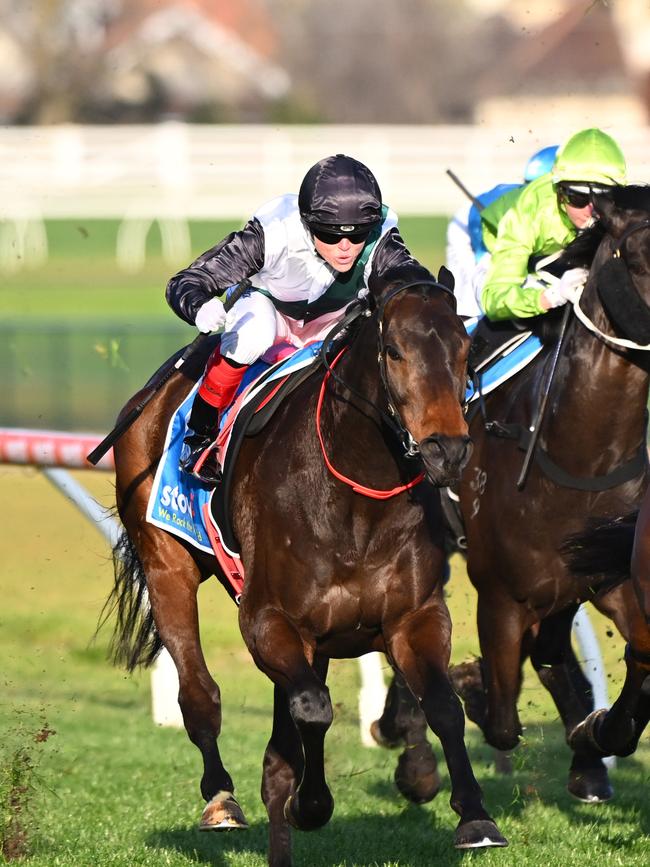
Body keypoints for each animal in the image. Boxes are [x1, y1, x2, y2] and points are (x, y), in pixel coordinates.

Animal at [104, 268, 506, 864]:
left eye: (465, 349)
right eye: (393, 350)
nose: (447, 451)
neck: (358, 495)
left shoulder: (413, 617)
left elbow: (443, 706)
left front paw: (475, 815)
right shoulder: (269, 621)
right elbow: (314, 710)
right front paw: (310, 804)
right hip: (166, 565)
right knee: (199, 693)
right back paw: (221, 800)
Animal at [372, 188, 648, 808]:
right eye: (642, 254)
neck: (576, 454)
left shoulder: (609, 574)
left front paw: (592, 740)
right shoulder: (500, 593)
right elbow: (499, 715)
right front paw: (466, 686)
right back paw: (413, 753)